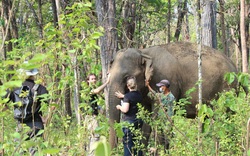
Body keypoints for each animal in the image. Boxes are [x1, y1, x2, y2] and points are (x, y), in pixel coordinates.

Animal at [107, 41, 236, 149]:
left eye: (127, 77)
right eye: (109, 74)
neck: (143, 52)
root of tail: (234, 66)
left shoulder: (167, 80)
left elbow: (158, 117)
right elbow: (146, 120)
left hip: (227, 90)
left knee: (225, 118)